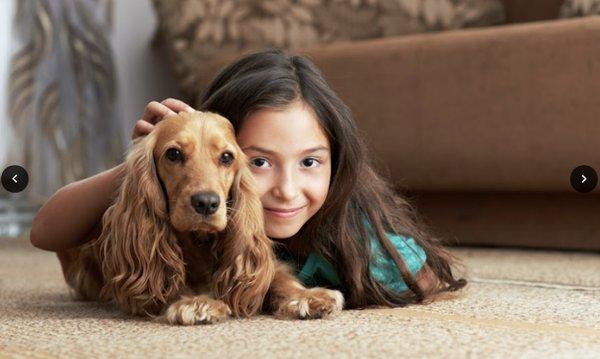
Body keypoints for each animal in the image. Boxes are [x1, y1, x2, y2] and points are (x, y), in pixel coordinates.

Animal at [61, 112, 344, 326]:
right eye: (173, 154)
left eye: (227, 157)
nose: (207, 203)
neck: (201, 243)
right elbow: (169, 280)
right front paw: (197, 303)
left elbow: (279, 278)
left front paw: (308, 297)